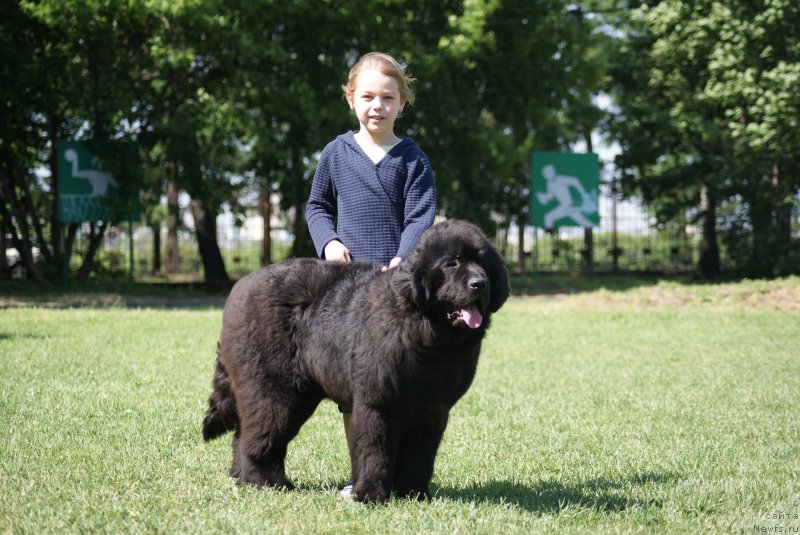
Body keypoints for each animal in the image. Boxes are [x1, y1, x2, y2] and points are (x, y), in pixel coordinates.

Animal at [203, 219, 510, 502]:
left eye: (483, 264)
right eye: (452, 263)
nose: (479, 283)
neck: (424, 336)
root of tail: (241, 286)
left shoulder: (431, 410)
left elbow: (419, 458)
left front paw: (414, 494)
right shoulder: (377, 403)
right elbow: (374, 451)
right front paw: (370, 496)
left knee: (244, 434)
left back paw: (242, 477)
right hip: (277, 391)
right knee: (262, 435)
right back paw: (269, 483)